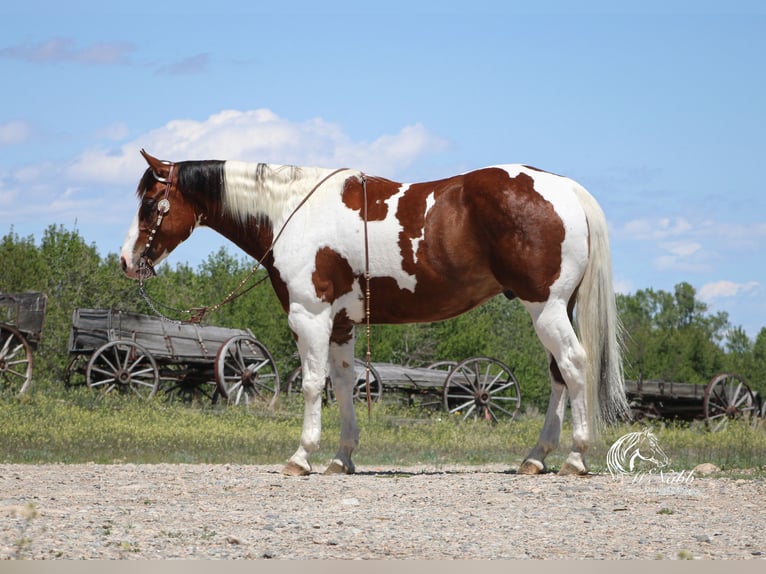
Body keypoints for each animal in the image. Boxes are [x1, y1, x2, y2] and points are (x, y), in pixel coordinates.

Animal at [121, 150, 632, 476]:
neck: (290, 211)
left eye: (149, 203)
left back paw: (575, 458)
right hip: (555, 309)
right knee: (559, 375)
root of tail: (563, 187)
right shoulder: (343, 324)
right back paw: (536, 457)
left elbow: (312, 385)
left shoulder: (310, 316)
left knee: (575, 366)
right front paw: (341, 458)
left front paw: (302, 457)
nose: (127, 261)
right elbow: (344, 383)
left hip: (546, 307)